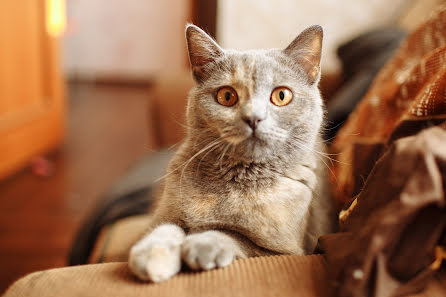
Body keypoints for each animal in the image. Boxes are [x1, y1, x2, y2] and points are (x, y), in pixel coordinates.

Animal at [127, 24, 336, 280]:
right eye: (226, 96)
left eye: (281, 95)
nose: (253, 118)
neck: (234, 183)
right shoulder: (162, 215)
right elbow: (166, 227)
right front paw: (151, 256)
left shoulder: (285, 250)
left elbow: (235, 235)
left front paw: (201, 244)